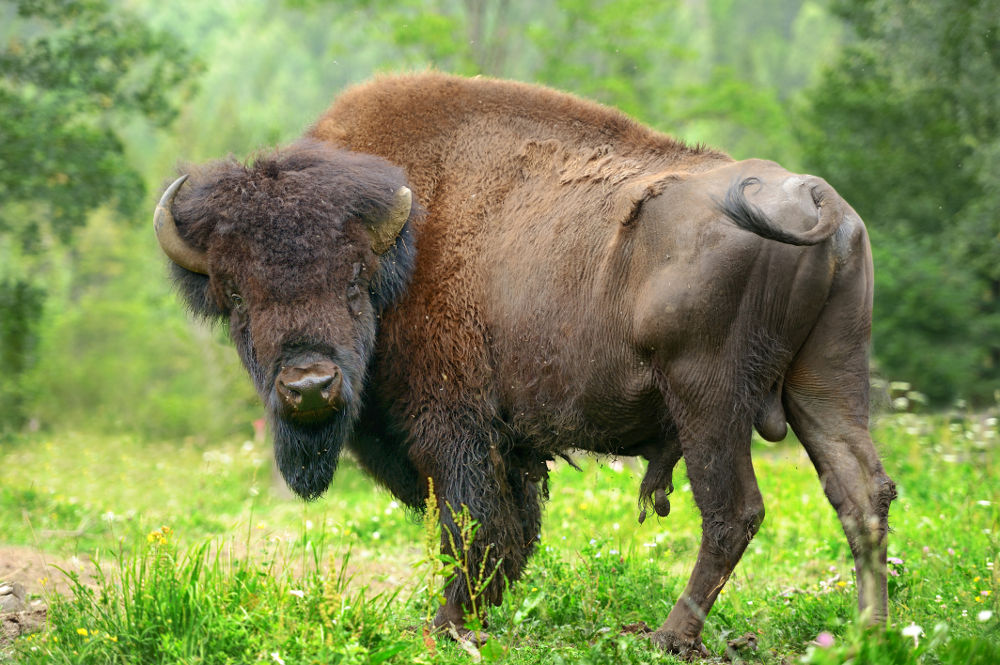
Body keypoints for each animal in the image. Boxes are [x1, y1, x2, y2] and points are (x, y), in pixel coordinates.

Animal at [158, 71, 900, 652]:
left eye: (352, 280)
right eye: (237, 297)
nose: (310, 385)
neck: (404, 246)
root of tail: (816, 201)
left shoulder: (452, 426)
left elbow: (474, 528)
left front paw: (446, 626)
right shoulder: (506, 445)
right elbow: (510, 532)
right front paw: (477, 618)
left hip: (708, 399)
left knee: (732, 510)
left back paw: (668, 636)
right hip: (826, 379)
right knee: (860, 492)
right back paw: (869, 631)